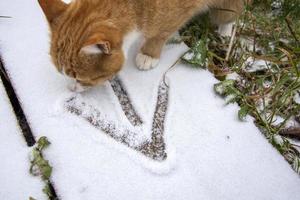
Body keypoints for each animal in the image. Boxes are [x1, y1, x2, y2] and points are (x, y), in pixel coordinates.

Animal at [38, 0, 248, 91]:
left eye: (80, 78)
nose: (71, 89)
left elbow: (160, 34)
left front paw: (149, 53)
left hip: (226, 8)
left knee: (231, 13)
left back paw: (225, 33)